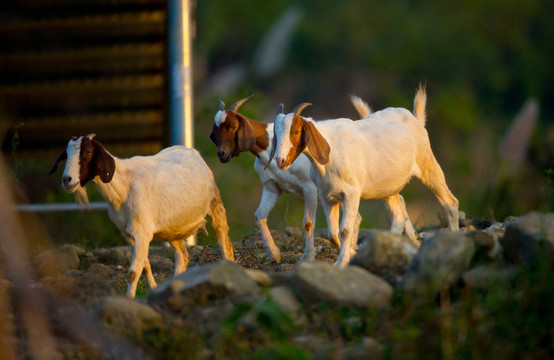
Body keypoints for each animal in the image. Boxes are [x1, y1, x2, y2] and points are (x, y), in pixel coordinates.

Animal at [48, 134, 235, 296]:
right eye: (66, 154)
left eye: (87, 152)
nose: (67, 180)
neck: (122, 188)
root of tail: (190, 151)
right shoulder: (128, 234)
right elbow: (144, 266)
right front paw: (153, 290)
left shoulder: (142, 232)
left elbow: (133, 272)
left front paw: (129, 299)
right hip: (172, 230)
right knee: (183, 257)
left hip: (215, 205)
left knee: (225, 244)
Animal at [268, 86, 458, 268]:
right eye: (276, 133)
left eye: (296, 131)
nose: (281, 160)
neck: (332, 149)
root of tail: (415, 119)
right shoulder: (328, 196)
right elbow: (332, 233)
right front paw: (350, 254)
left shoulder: (351, 194)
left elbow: (344, 231)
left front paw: (341, 262)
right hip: (388, 187)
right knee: (398, 217)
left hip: (427, 164)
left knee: (450, 201)